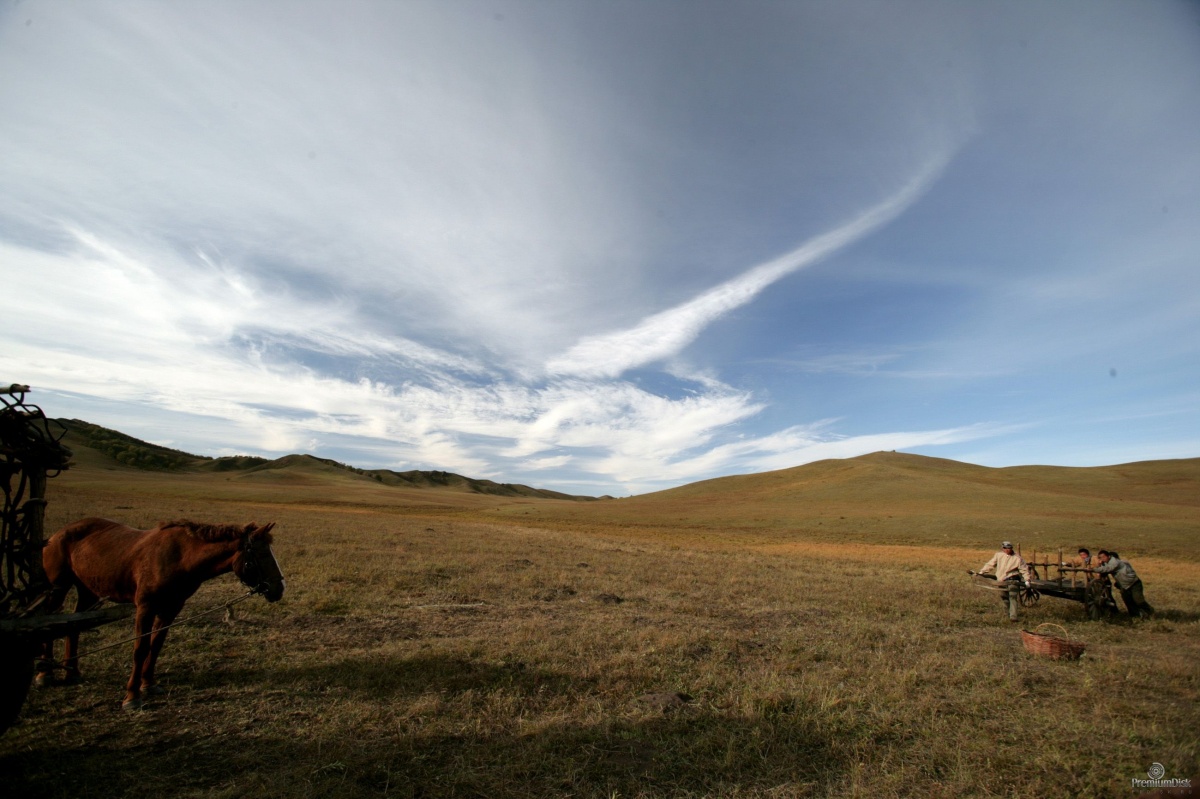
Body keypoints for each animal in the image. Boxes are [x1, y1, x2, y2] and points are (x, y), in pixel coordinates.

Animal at [36, 513, 283, 705]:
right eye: (262, 554)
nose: (279, 588)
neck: (181, 558)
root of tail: (58, 534)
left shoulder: (171, 609)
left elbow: (155, 646)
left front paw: (148, 684)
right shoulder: (145, 608)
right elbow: (140, 649)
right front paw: (132, 695)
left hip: (89, 591)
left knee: (74, 627)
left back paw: (72, 672)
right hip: (57, 589)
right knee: (48, 622)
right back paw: (45, 673)